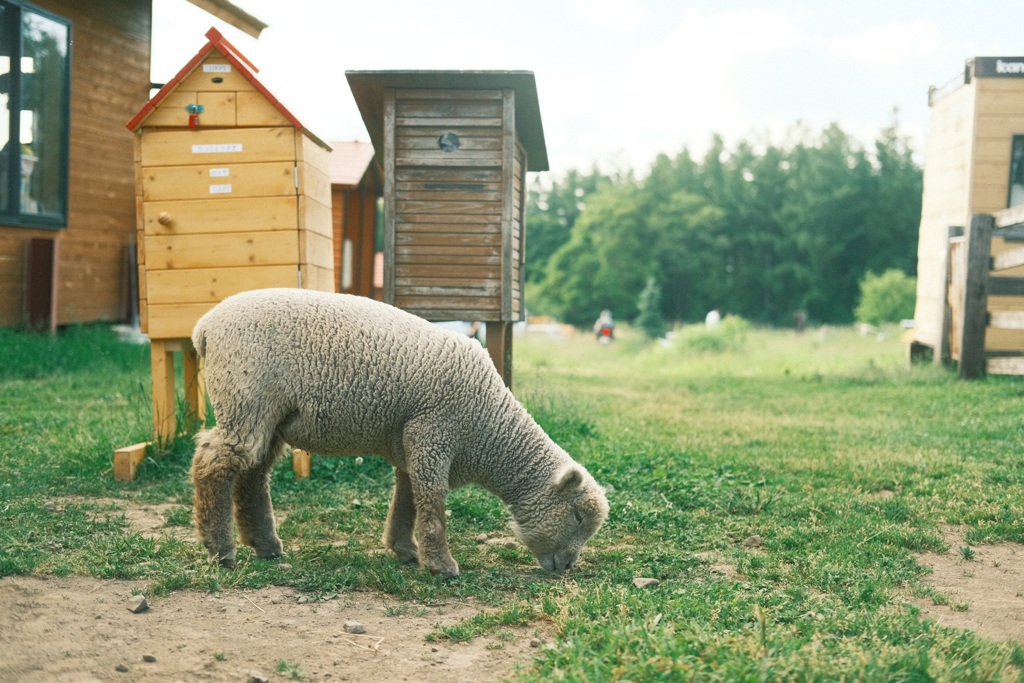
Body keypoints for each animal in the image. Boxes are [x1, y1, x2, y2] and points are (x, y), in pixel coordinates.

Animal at [190, 286, 606, 577]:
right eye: (578, 517)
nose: (568, 567)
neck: (488, 430)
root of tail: (205, 327)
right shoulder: (433, 433)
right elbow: (432, 502)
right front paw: (442, 566)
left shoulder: (412, 443)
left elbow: (407, 497)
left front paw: (404, 549)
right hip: (245, 397)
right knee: (214, 463)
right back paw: (220, 550)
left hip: (268, 417)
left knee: (253, 474)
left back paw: (264, 545)